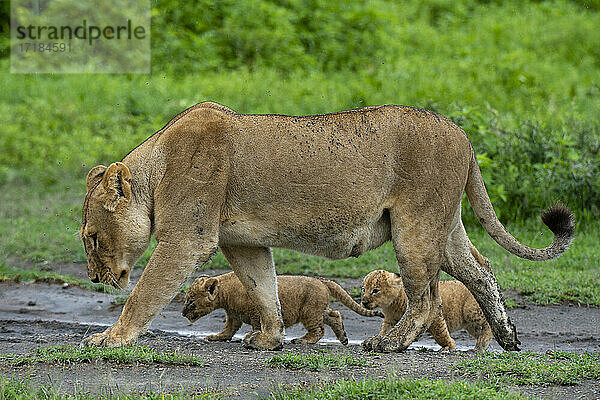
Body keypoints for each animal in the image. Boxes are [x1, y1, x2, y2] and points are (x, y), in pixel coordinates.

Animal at [78, 101, 572, 352]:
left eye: (93, 238)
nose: (96, 278)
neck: (155, 170)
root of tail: (463, 135)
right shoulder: (243, 243)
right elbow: (263, 288)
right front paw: (270, 339)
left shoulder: (187, 238)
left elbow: (144, 294)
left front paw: (110, 337)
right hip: (443, 228)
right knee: (482, 270)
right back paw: (509, 337)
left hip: (415, 226)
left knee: (428, 298)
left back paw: (390, 343)